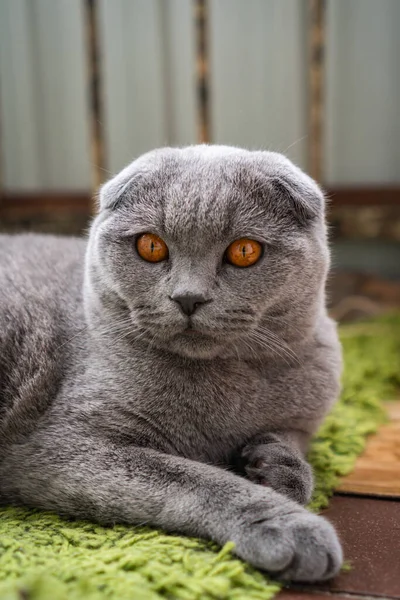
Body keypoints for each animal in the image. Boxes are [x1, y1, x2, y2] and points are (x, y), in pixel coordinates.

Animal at [0, 146, 344, 580]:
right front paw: (289, 526)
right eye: (151, 246)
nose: (188, 297)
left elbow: (292, 438)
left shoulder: (306, 408)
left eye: (244, 251)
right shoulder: (64, 446)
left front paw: (278, 466)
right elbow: (200, 480)